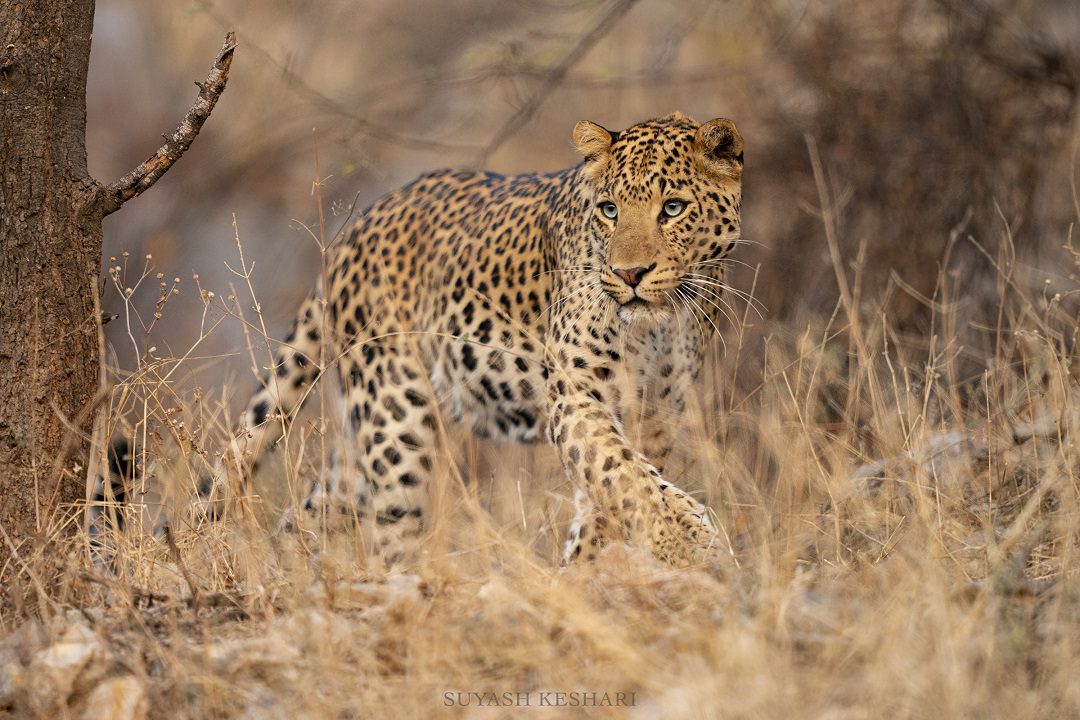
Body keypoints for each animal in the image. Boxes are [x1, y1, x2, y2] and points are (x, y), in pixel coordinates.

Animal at [92, 112, 745, 569]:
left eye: (673, 208)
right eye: (608, 210)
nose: (629, 275)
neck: (657, 323)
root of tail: (351, 234)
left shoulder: (658, 411)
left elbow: (615, 488)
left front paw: (594, 568)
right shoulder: (577, 396)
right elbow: (619, 472)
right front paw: (685, 535)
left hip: (362, 444)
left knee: (306, 515)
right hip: (395, 420)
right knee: (387, 527)